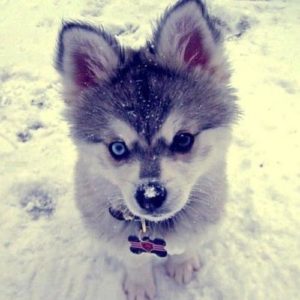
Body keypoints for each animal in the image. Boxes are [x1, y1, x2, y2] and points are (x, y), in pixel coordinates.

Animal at [55, 0, 238, 298]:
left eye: (183, 139)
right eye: (118, 148)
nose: (150, 197)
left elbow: (186, 244)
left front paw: (182, 264)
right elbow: (134, 259)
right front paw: (140, 284)